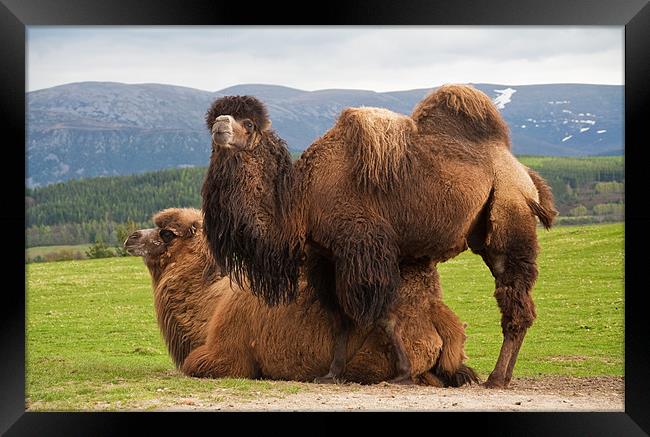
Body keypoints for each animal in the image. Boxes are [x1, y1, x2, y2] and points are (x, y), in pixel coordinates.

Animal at [124, 206, 476, 384]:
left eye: (167, 233)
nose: (130, 238)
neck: (212, 303)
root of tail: (433, 310)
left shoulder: (226, 355)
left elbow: (194, 364)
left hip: (373, 358)